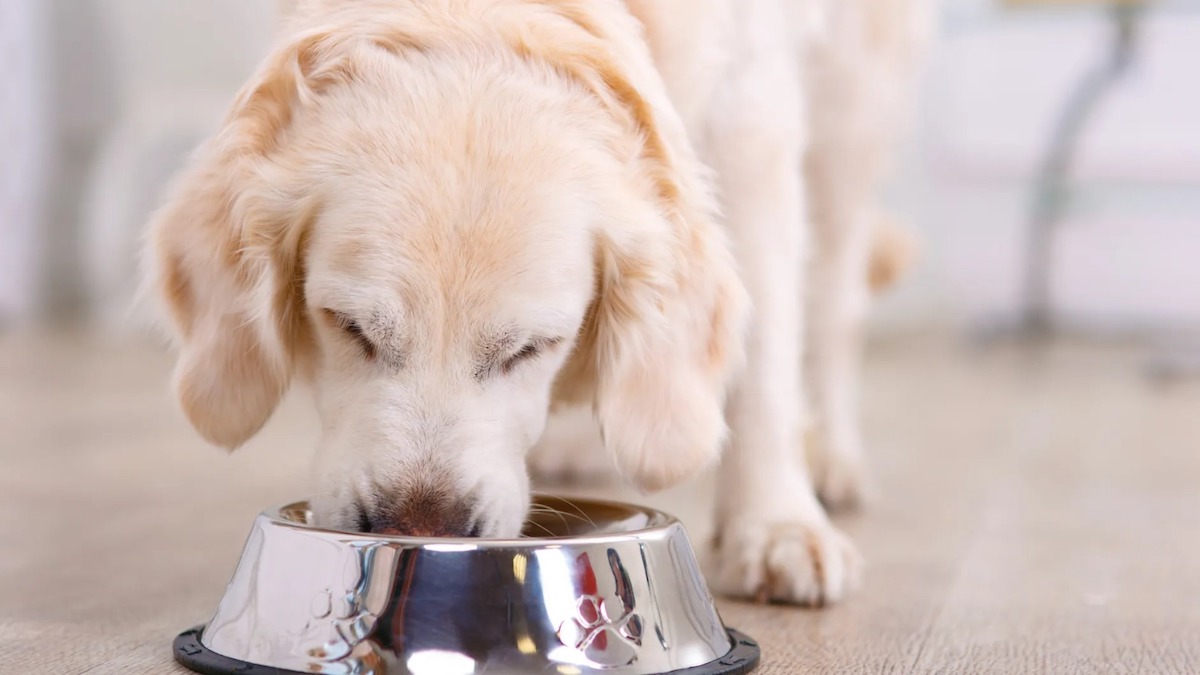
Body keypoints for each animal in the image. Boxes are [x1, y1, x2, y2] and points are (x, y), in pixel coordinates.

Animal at [140, 0, 926, 600]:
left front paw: (776, 525)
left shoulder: (752, 121)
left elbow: (765, 358)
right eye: (350, 326)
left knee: (834, 301)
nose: (421, 530)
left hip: (853, 109)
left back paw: (832, 459)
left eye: (532, 347)